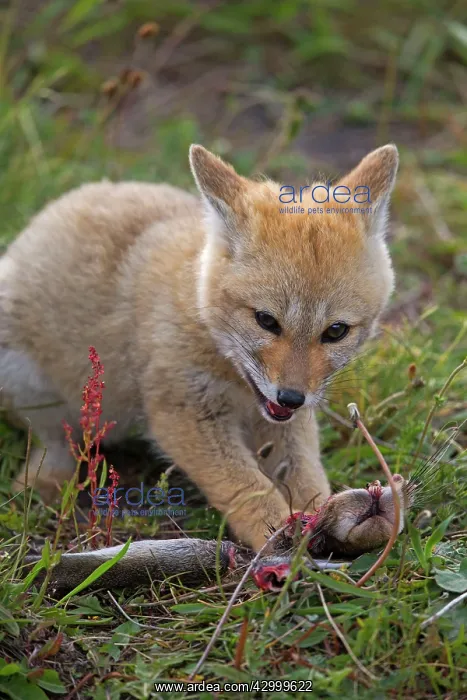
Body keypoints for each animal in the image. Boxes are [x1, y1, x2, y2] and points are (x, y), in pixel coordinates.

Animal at [0, 143, 398, 553]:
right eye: (266, 321)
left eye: (336, 331)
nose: (290, 398)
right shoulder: (184, 413)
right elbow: (248, 488)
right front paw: (279, 537)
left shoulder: (287, 422)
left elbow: (307, 478)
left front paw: (328, 518)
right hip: (31, 385)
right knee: (54, 439)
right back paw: (46, 480)